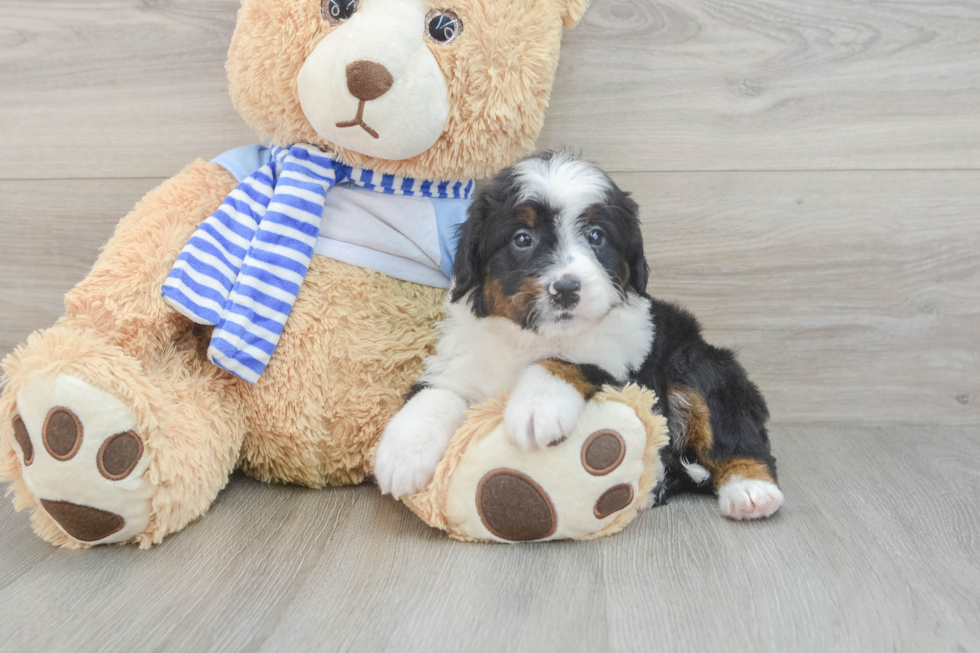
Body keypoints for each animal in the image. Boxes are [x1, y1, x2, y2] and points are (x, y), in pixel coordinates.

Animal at [372, 149, 784, 520]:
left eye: (596, 236)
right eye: (522, 238)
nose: (567, 289)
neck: (530, 338)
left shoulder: (625, 358)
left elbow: (569, 360)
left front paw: (537, 407)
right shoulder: (461, 358)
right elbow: (437, 393)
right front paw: (401, 454)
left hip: (697, 363)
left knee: (733, 431)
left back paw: (751, 490)